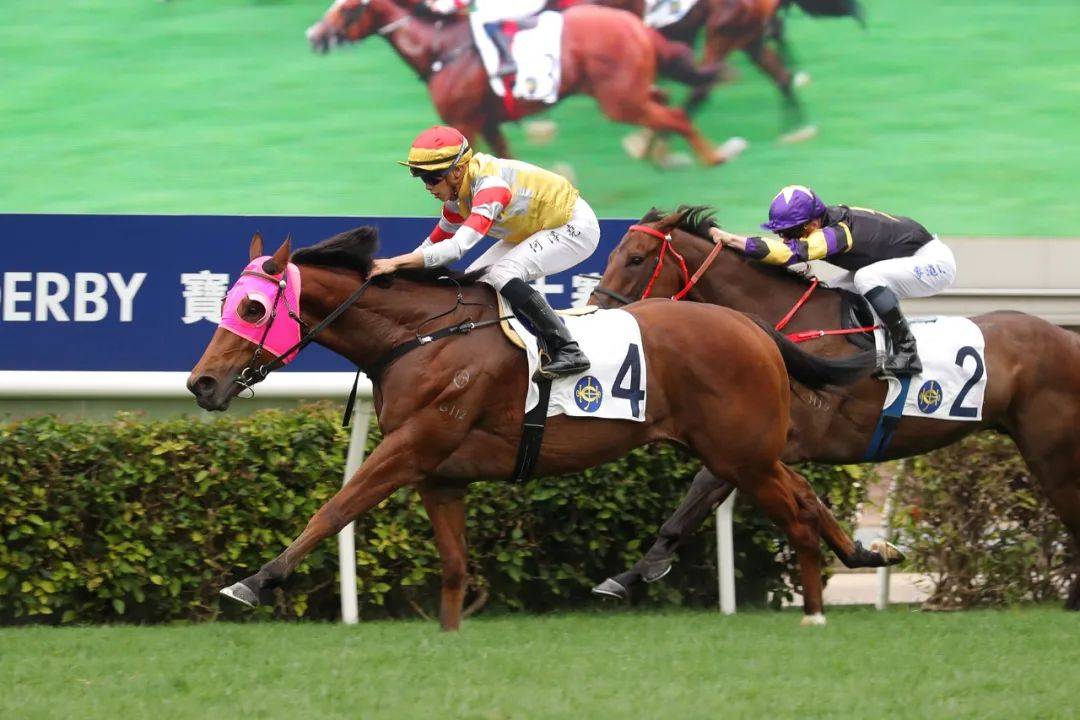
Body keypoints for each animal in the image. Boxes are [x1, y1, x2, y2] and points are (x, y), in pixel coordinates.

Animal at [187, 227, 889, 628]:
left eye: (253, 308)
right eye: (224, 302)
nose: (202, 384)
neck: (420, 336)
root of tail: (754, 326)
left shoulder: (411, 446)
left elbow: (333, 509)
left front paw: (253, 582)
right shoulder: (439, 474)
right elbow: (453, 567)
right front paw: (449, 638)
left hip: (742, 453)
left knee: (796, 516)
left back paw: (816, 616)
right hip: (743, 452)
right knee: (804, 496)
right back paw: (866, 555)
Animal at [305, 0, 741, 165]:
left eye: (345, 8)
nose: (313, 35)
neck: (442, 48)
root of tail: (637, 25)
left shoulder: (464, 124)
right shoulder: (488, 122)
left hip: (620, 101)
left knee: (673, 116)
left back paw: (711, 156)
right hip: (627, 91)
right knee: (664, 102)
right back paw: (657, 152)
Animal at [588, 207, 1080, 610]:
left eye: (636, 259)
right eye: (612, 255)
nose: (595, 314)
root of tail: (1067, 337)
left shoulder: (765, 442)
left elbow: (698, 494)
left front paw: (636, 571)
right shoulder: (753, 445)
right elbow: (719, 500)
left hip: (1051, 451)